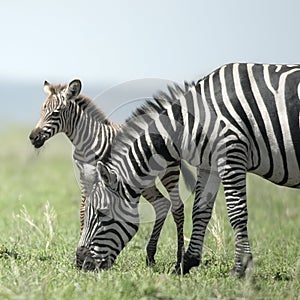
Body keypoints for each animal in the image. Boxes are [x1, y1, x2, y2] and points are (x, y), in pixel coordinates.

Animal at [28, 79, 195, 268]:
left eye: (55, 113)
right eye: (42, 110)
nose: (33, 137)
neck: (86, 142)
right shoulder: (85, 177)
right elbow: (83, 211)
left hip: (168, 172)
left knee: (177, 207)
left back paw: (179, 260)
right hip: (143, 181)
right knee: (162, 204)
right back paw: (150, 256)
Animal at [75, 62, 300, 276]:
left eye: (102, 214)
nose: (81, 263)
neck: (195, 120)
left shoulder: (232, 154)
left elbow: (237, 213)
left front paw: (240, 268)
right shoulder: (210, 165)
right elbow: (200, 210)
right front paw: (187, 263)